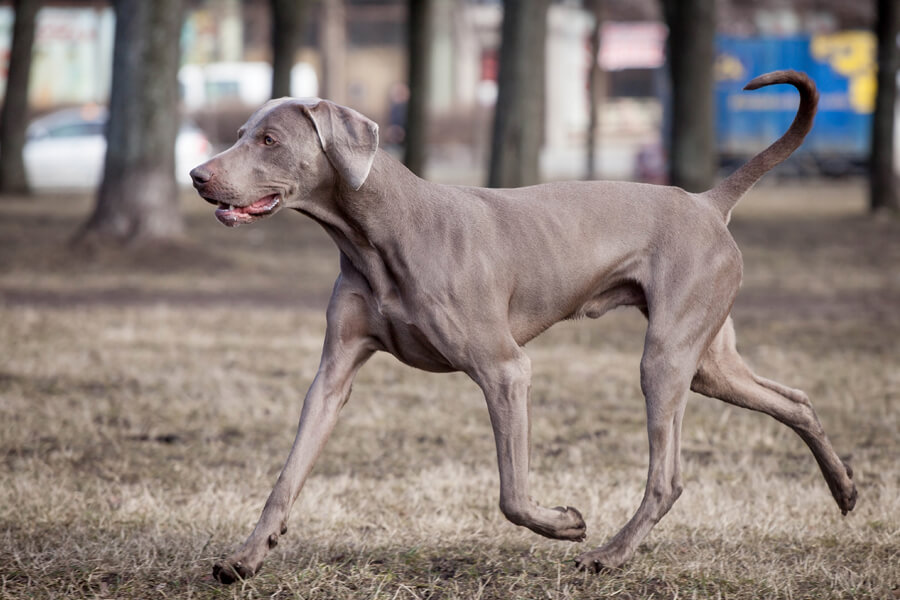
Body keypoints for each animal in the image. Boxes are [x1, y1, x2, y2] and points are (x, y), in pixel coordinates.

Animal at [192, 69, 856, 580]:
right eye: (240, 134)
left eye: (270, 139)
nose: (198, 175)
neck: (376, 233)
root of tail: (706, 202)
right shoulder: (333, 374)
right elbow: (289, 472)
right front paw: (245, 558)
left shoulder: (505, 369)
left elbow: (512, 494)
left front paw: (565, 524)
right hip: (707, 362)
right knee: (795, 399)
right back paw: (845, 488)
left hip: (667, 355)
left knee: (667, 477)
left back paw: (608, 555)